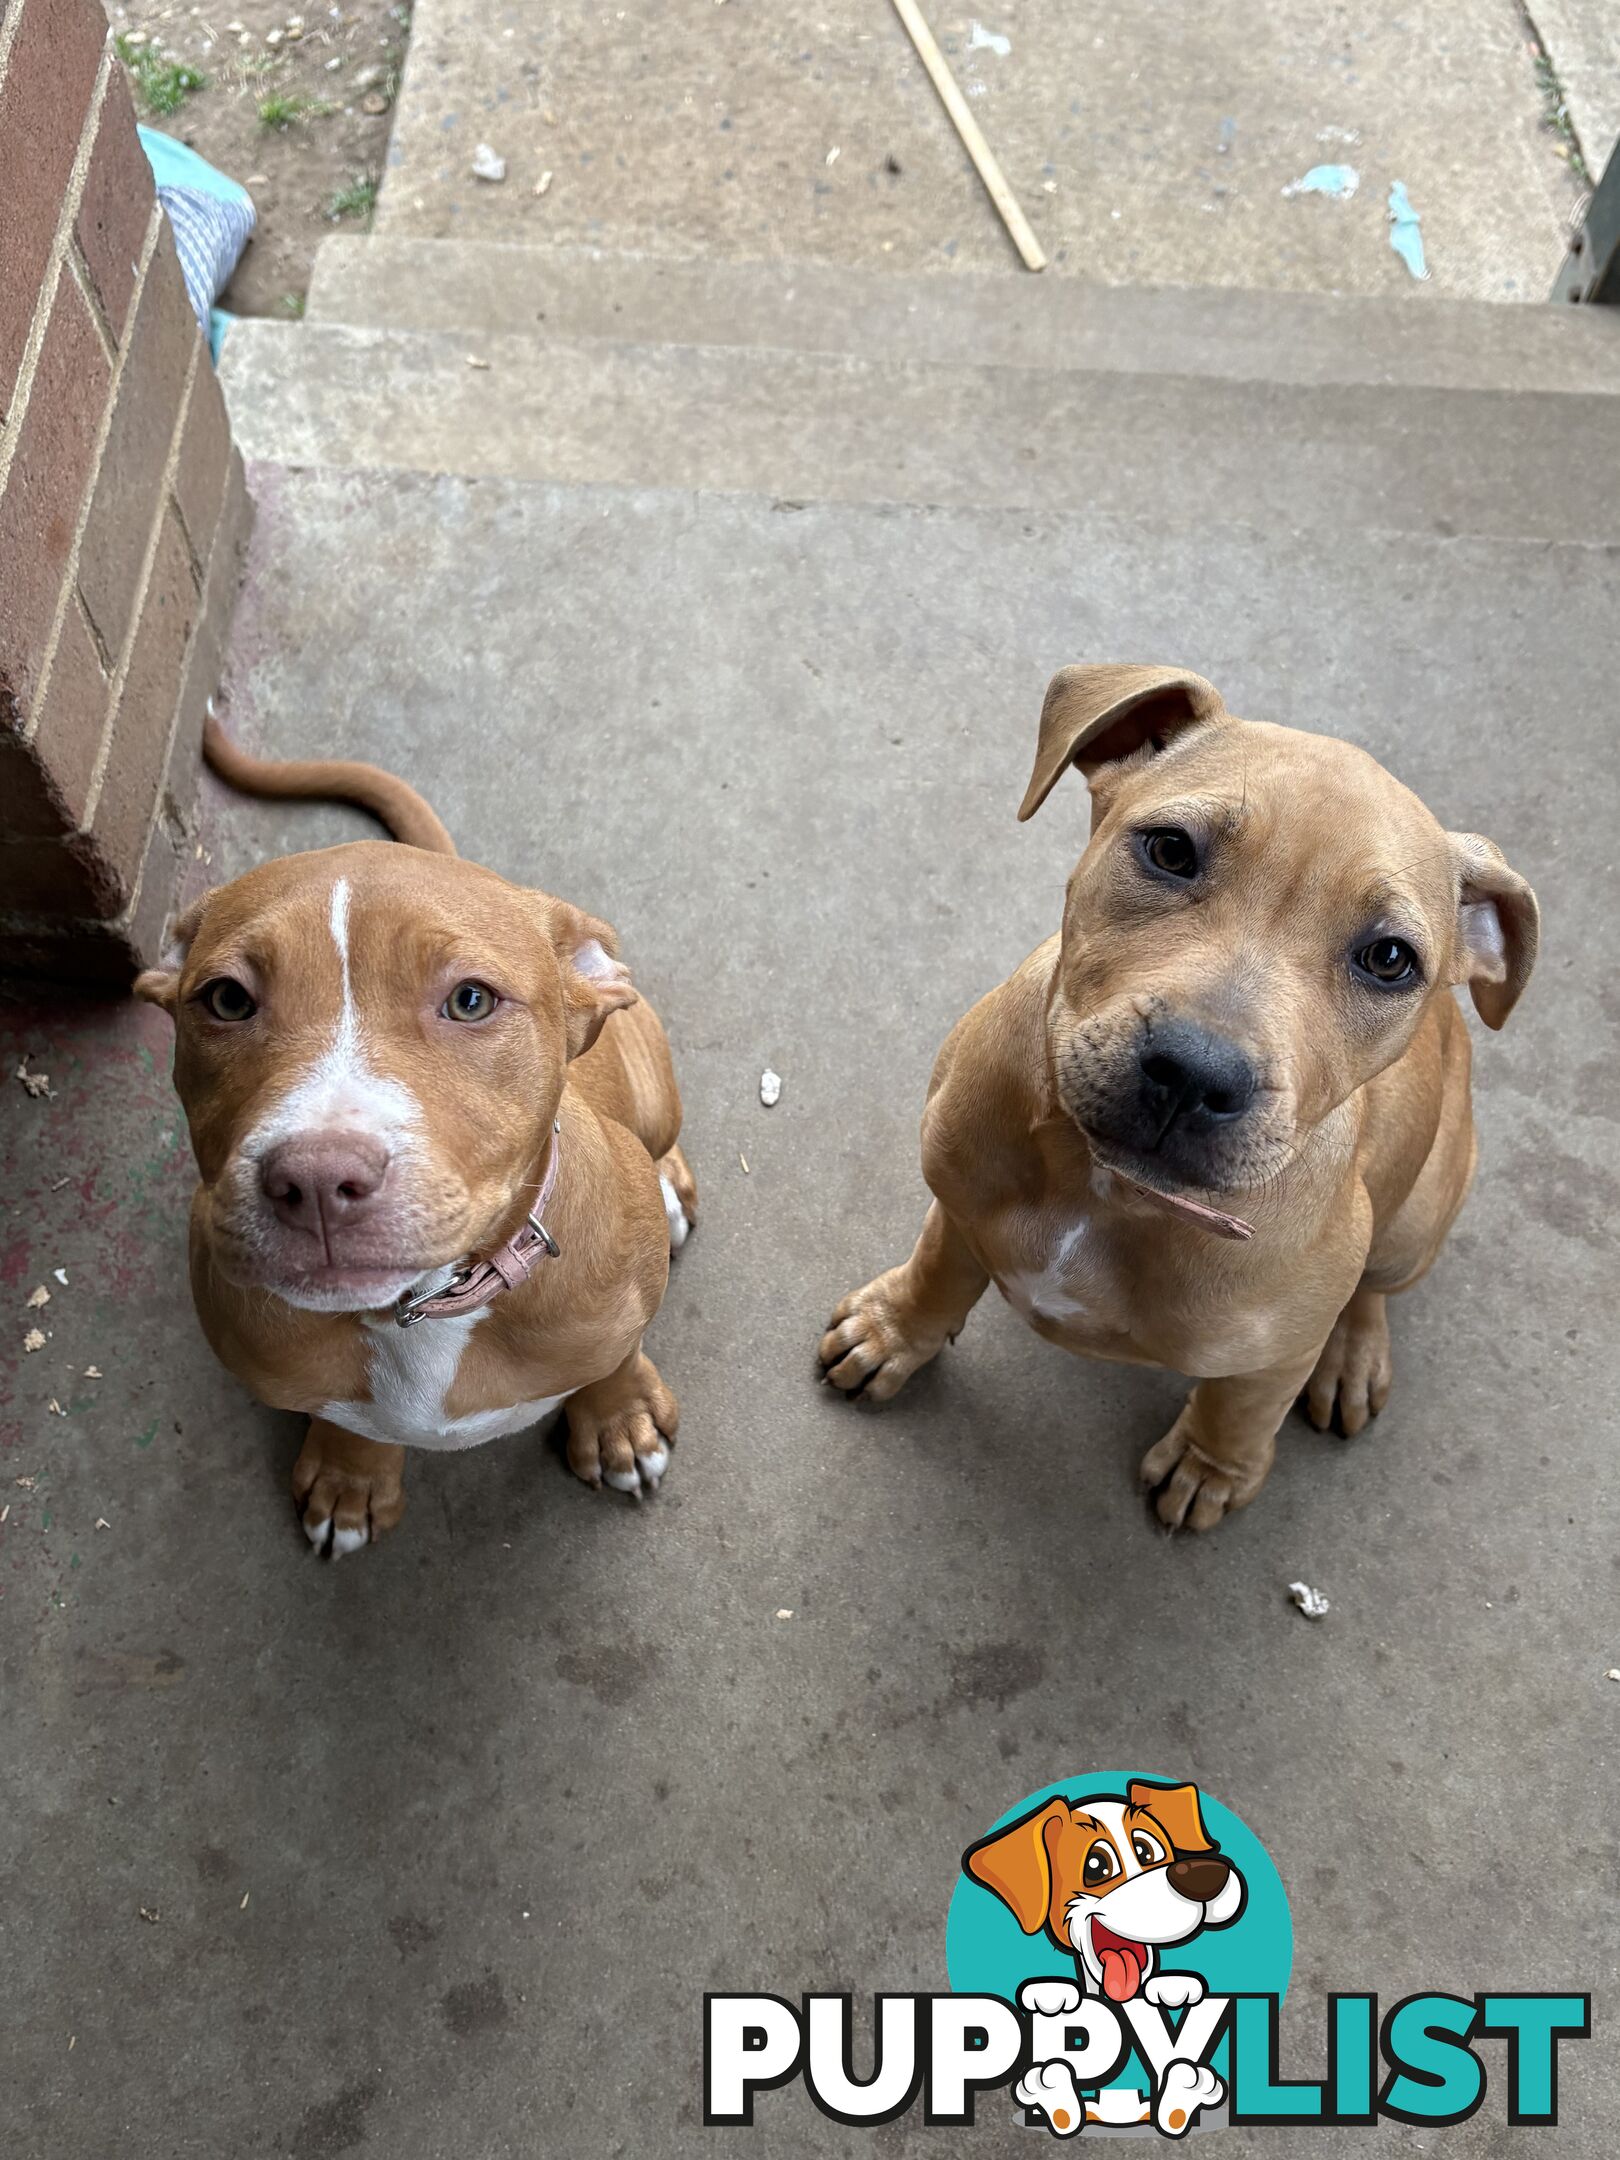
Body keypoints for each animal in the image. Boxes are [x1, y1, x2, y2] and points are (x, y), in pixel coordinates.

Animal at [136, 725, 695, 1555]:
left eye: (470, 1000)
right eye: (227, 999)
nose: (317, 1180)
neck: (427, 1311)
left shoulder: (622, 1308)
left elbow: (614, 1355)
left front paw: (618, 1420)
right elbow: (347, 1417)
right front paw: (350, 1479)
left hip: (649, 1078)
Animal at [816, 665, 1537, 1529]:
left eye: (1389, 959)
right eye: (1169, 850)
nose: (1196, 1072)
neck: (1108, 1189)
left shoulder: (1274, 1356)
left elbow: (1240, 1412)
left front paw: (1209, 1467)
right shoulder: (958, 1199)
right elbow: (937, 1271)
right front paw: (894, 1332)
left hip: (1419, 1215)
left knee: (1372, 1289)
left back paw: (1352, 1355)